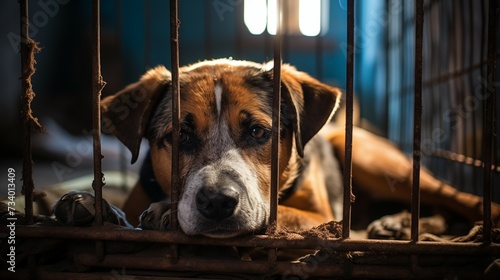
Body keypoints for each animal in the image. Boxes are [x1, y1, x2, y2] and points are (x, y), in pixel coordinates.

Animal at [52, 58, 498, 240]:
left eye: (257, 131)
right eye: (180, 137)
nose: (217, 202)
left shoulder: (323, 216)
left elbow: (283, 215)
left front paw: (165, 212)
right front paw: (88, 205)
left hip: (371, 157)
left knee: (452, 198)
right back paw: (398, 225)